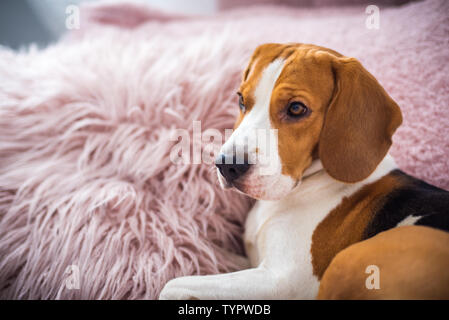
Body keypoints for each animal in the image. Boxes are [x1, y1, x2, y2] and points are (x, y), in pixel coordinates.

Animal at [160, 43, 448, 300]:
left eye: (296, 108)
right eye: (241, 100)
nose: (228, 165)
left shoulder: (278, 281)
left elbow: (172, 285)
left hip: (347, 262)